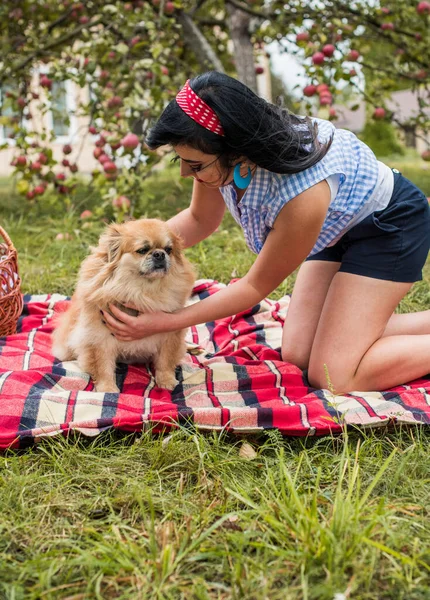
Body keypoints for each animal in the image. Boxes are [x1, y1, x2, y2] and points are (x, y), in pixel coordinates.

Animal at [50, 218, 197, 392]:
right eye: (142, 250)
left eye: (168, 250)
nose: (160, 254)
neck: (142, 291)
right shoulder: (99, 337)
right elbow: (103, 367)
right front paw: (107, 389)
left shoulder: (169, 335)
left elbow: (165, 362)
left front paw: (166, 381)